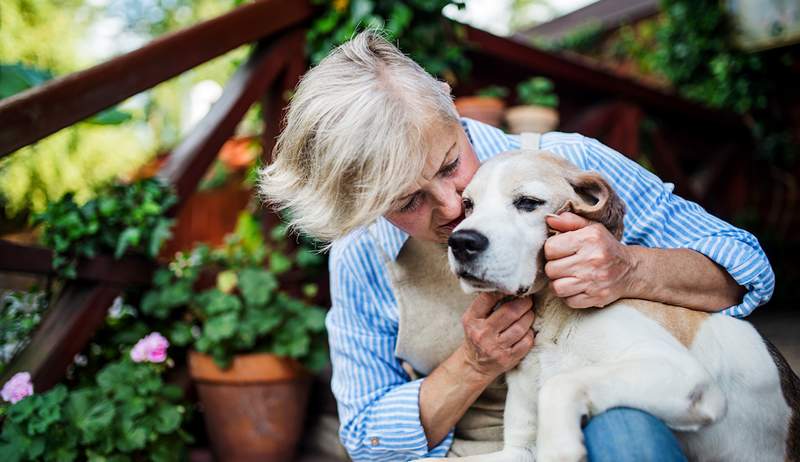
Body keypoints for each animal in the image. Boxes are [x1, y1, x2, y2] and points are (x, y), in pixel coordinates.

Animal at [438, 151, 800, 462]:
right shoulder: (518, 450)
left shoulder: (682, 374)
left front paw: (561, 449)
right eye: (468, 205)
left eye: (528, 202)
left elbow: (560, 384)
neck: (554, 321)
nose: (462, 243)